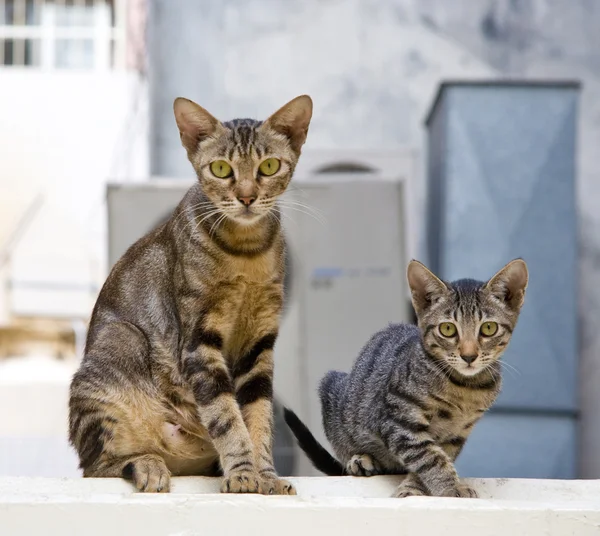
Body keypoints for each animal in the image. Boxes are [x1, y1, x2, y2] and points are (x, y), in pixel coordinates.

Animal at [69, 93, 314, 494]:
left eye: (269, 166)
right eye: (220, 169)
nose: (246, 197)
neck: (246, 255)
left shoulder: (259, 345)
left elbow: (257, 417)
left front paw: (266, 476)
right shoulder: (199, 340)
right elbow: (226, 416)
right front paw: (243, 474)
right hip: (118, 347)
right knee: (97, 466)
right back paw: (147, 465)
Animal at [284, 260, 528, 498]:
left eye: (489, 328)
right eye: (448, 329)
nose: (469, 356)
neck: (465, 388)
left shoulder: (456, 435)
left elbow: (436, 456)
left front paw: (414, 488)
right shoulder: (398, 419)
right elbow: (429, 457)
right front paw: (450, 489)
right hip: (334, 392)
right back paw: (360, 460)